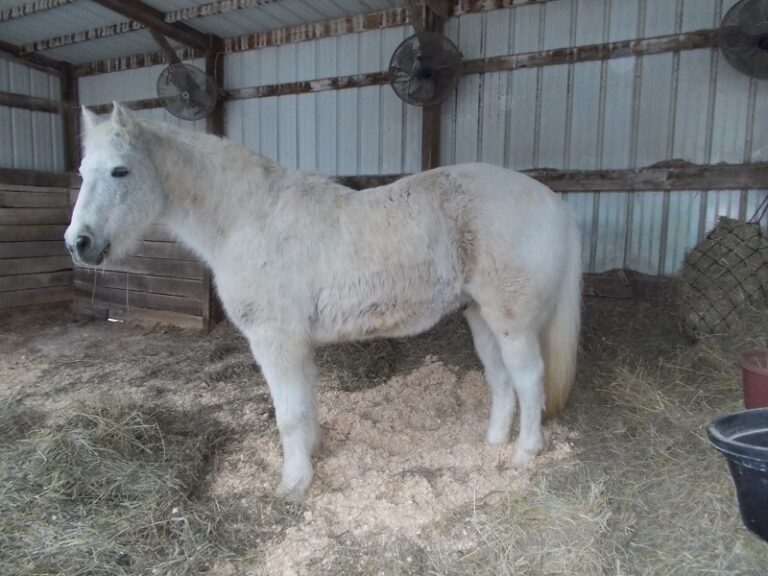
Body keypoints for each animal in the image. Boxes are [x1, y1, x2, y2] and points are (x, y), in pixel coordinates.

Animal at [67, 101, 584, 498]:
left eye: (120, 170)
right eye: (82, 171)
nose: (78, 243)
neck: (248, 219)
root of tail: (554, 203)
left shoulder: (276, 340)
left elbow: (289, 414)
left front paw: (293, 484)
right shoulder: (297, 343)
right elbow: (305, 406)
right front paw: (311, 458)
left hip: (512, 320)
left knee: (529, 379)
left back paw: (525, 453)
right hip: (481, 316)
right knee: (502, 380)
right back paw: (493, 443)